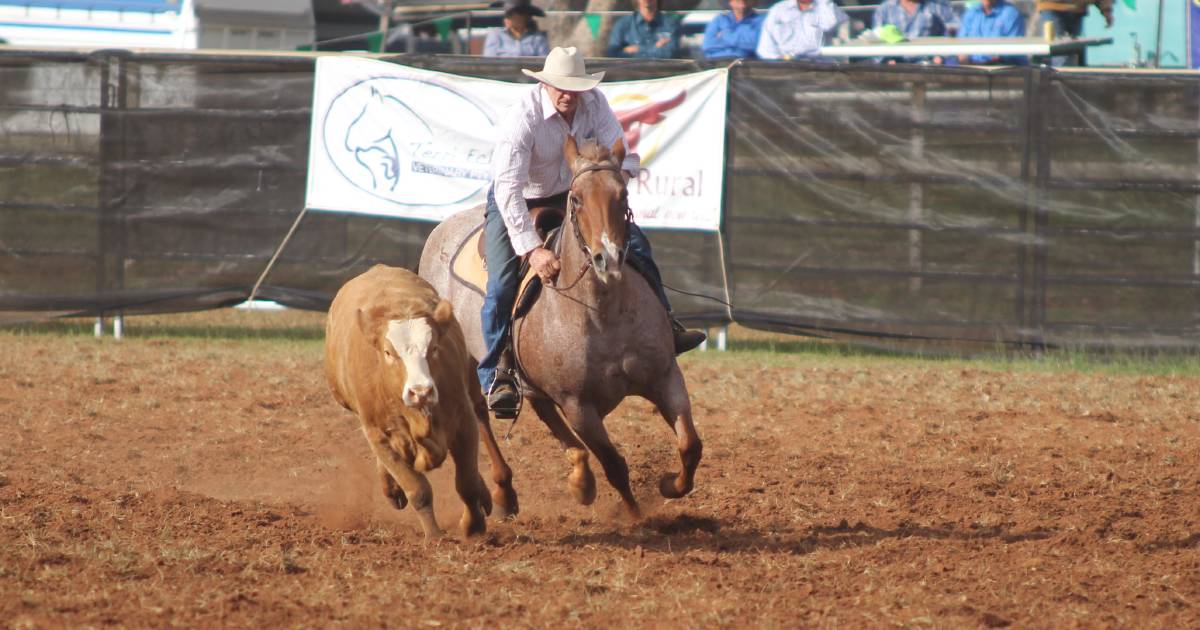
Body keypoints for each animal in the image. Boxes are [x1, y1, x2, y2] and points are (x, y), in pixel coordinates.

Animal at [324, 264, 492, 535]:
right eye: (388, 352)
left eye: (434, 348)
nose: (421, 391)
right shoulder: (378, 434)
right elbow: (418, 490)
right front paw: (434, 536)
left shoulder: (464, 419)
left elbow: (467, 482)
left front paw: (473, 527)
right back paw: (392, 489)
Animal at [420, 135, 700, 518]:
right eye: (576, 198)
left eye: (623, 195)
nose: (608, 258)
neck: (604, 314)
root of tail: (441, 230)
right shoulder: (579, 406)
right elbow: (614, 464)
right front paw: (637, 517)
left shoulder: (666, 377)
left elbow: (690, 445)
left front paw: (670, 485)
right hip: (464, 364)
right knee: (479, 413)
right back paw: (504, 493)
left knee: (542, 411)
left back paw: (579, 479)